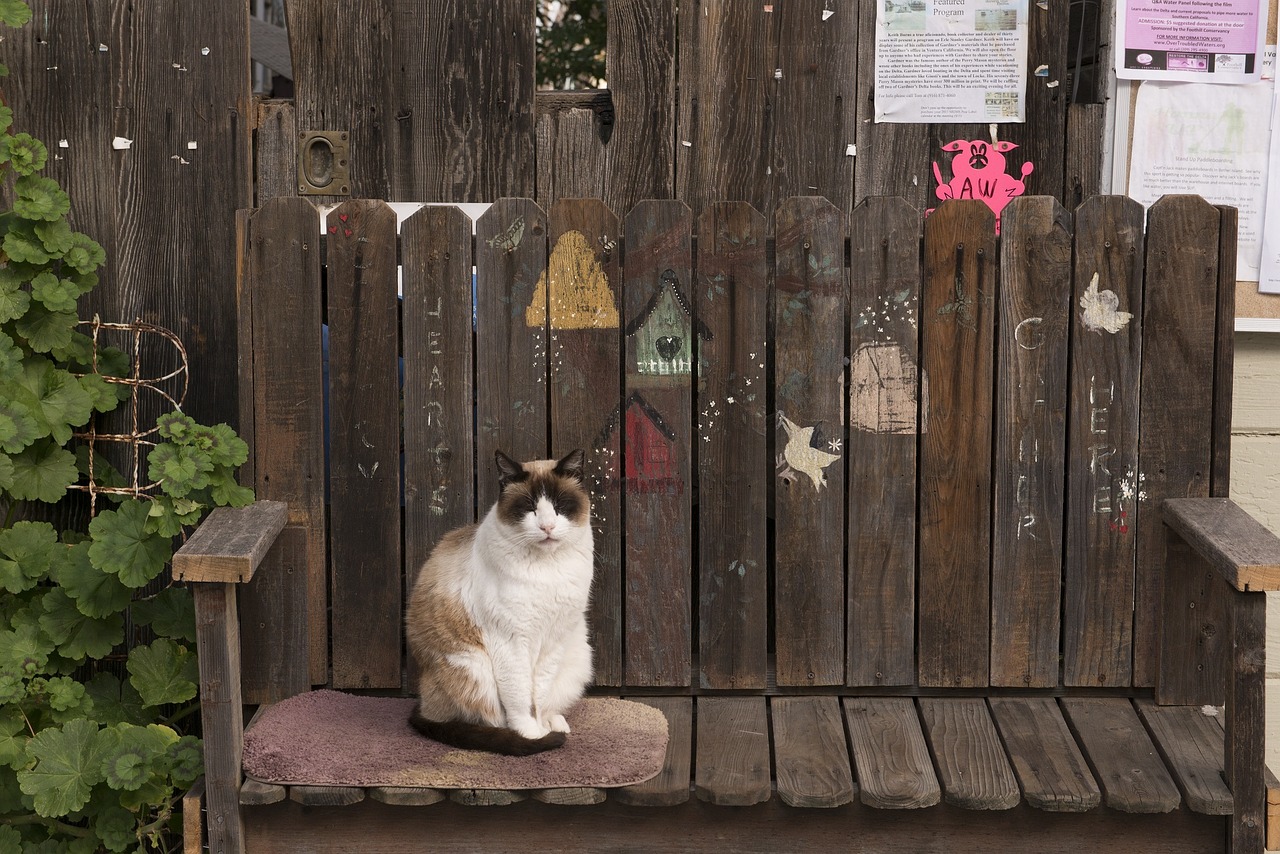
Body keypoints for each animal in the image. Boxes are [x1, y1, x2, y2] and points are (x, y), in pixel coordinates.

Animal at [404, 448, 593, 752]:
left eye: (560, 506)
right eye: (529, 508)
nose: (547, 527)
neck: (547, 568)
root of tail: (423, 701)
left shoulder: (553, 640)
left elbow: (539, 696)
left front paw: (541, 726)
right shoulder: (512, 642)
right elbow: (520, 700)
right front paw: (532, 736)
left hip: (577, 654)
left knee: (549, 701)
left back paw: (555, 722)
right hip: (474, 668)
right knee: (485, 718)